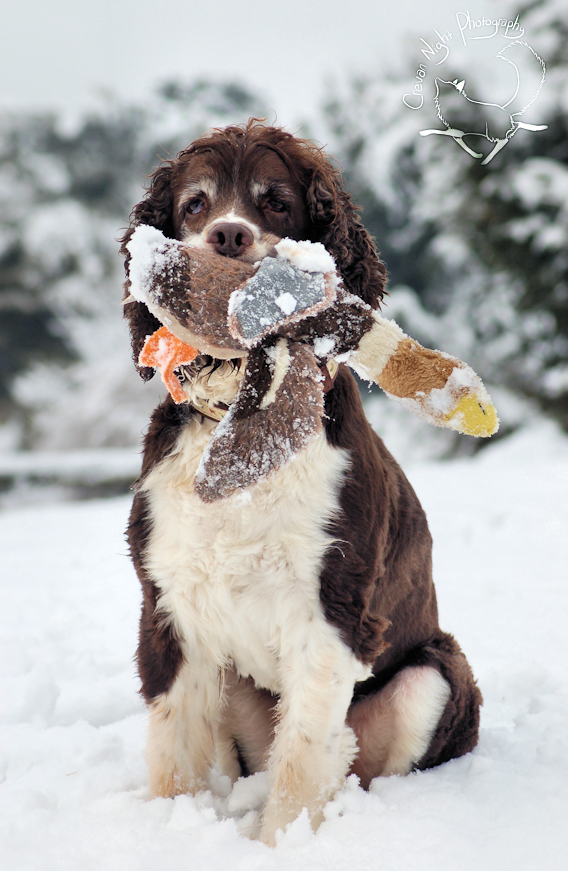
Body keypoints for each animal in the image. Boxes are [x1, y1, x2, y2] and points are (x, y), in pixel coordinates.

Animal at [118, 119, 480, 848]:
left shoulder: (332, 610)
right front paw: (166, 834)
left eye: (277, 203)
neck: (244, 421)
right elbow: (173, 748)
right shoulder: (169, 603)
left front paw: (280, 846)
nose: (229, 236)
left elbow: (302, 756)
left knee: (355, 754)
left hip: (434, 670)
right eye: (195, 204)